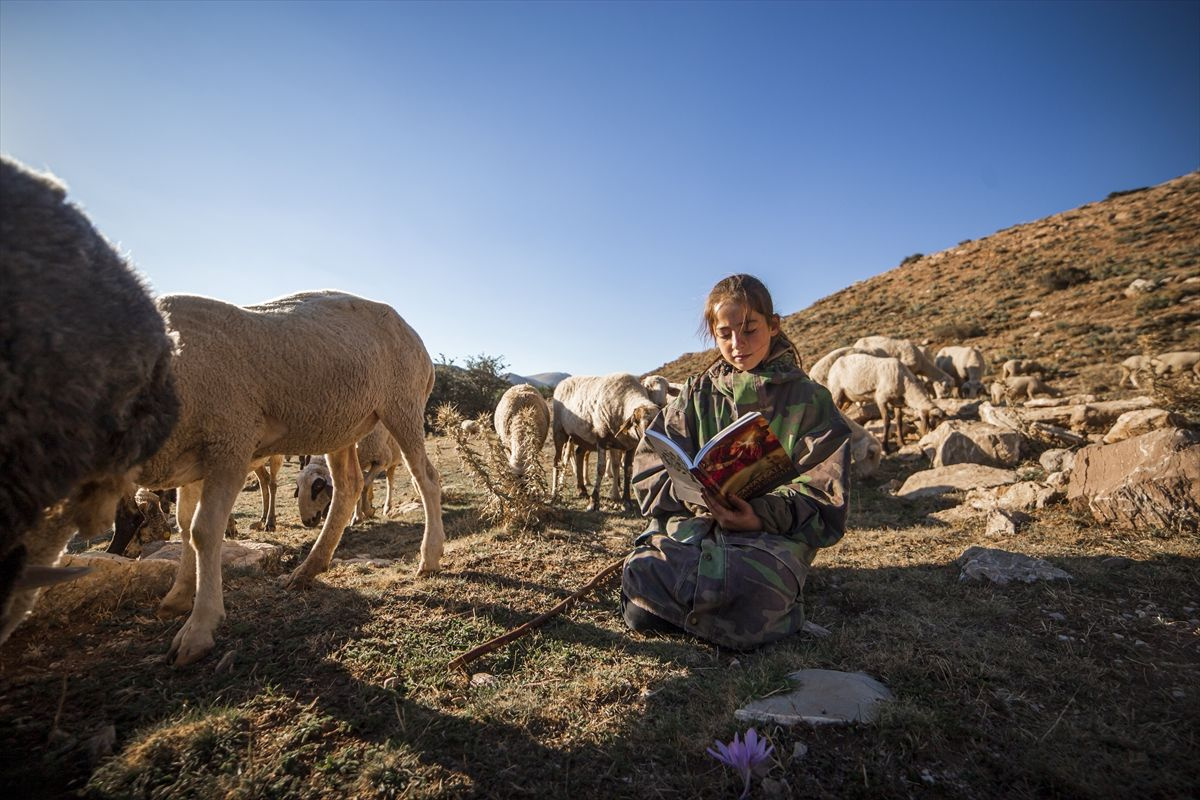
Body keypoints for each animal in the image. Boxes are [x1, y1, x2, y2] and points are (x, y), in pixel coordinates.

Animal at [135, 291, 446, 666]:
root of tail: (412, 333)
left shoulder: (230, 443)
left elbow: (203, 532)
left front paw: (198, 628)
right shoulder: (191, 460)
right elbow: (183, 526)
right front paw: (179, 595)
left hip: (402, 404)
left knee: (426, 478)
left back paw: (429, 558)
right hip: (342, 425)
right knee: (349, 486)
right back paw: (309, 567)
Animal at [549, 371, 657, 510]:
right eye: (638, 424)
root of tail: (563, 382)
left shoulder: (630, 446)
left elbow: (628, 469)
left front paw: (626, 500)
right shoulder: (601, 438)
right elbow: (601, 468)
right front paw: (594, 502)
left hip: (581, 435)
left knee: (579, 454)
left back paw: (581, 489)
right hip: (559, 430)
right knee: (557, 461)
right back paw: (555, 493)